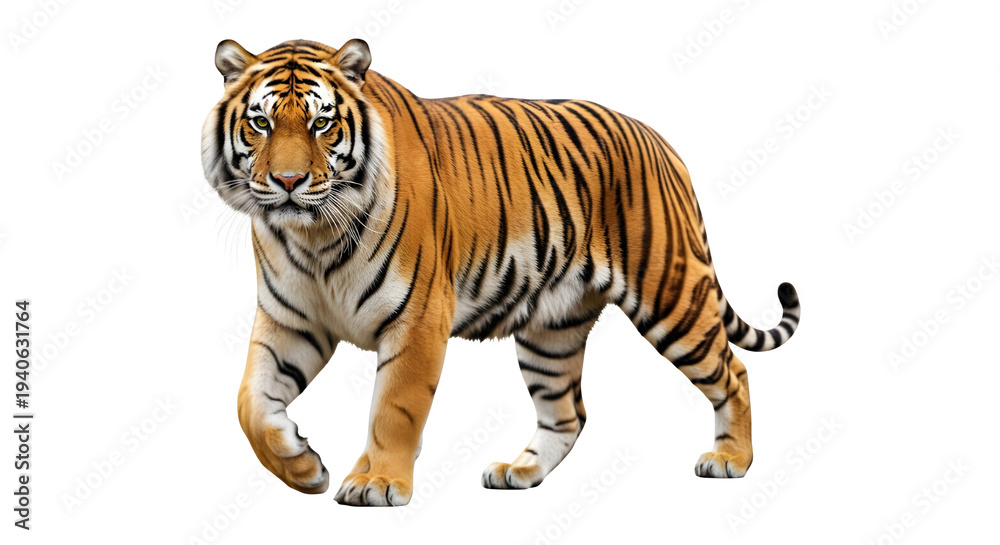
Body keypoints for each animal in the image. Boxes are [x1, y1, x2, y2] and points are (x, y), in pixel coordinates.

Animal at [201, 38, 801, 507]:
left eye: (322, 124)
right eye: (260, 123)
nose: (288, 181)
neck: (314, 239)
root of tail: (663, 144)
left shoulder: (418, 319)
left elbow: (394, 408)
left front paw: (378, 483)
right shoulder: (290, 322)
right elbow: (249, 403)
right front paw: (302, 466)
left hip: (671, 297)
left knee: (734, 372)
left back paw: (731, 459)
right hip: (551, 331)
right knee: (568, 414)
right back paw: (521, 472)